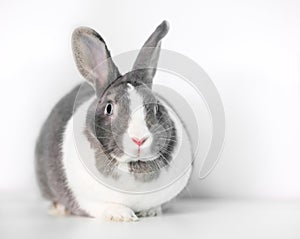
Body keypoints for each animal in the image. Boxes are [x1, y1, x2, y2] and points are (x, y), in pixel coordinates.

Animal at [34, 21, 192, 222]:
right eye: (109, 108)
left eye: (157, 107)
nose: (139, 139)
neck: (133, 165)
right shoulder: (89, 201)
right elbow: (105, 206)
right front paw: (122, 215)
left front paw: (150, 212)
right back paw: (59, 209)